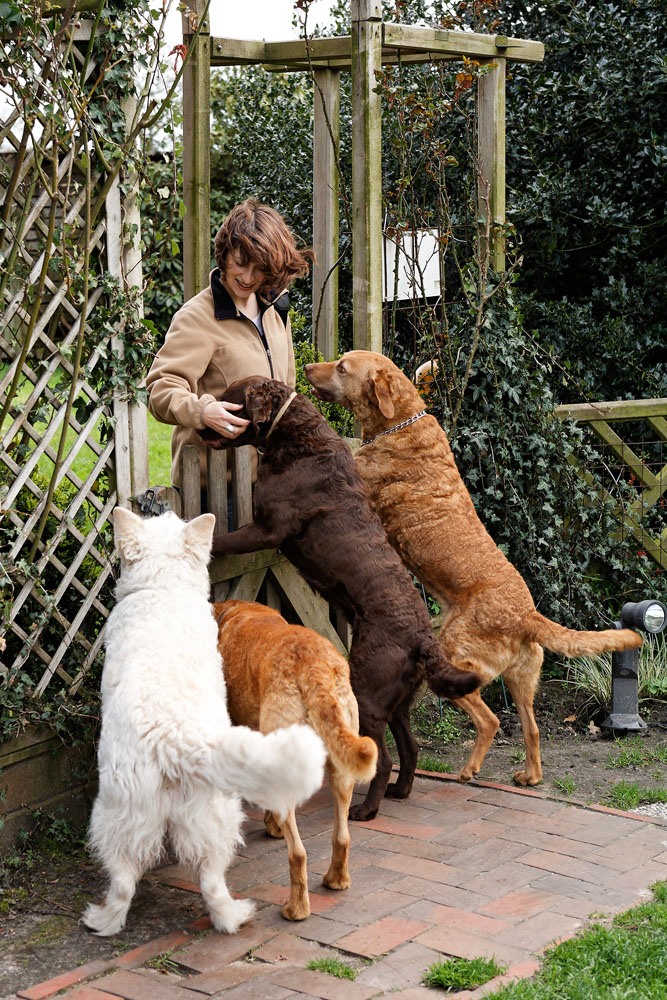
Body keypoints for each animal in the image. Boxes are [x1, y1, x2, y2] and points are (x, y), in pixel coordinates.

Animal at [82, 508, 328, 936]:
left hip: (127, 814)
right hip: (197, 815)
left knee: (131, 881)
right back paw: (232, 916)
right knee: (204, 882)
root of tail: (171, 740)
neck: (163, 589)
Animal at [215, 596, 378, 916]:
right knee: (342, 836)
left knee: (298, 853)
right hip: (343, 765)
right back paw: (336, 880)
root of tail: (315, 668)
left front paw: (272, 826)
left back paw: (296, 909)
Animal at [306, 352, 640, 788]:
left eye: (343, 367)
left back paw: (468, 770)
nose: (307, 369)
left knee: (490, 720)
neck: (401, 422)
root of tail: (527, 616)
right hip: (522, 679)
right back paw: (529, 776)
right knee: (531, 728)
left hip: (454, 658)